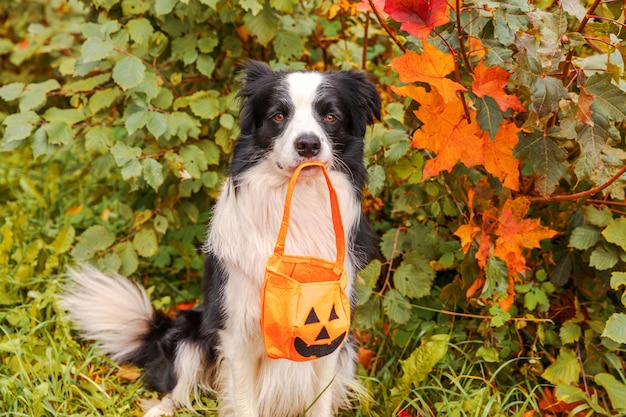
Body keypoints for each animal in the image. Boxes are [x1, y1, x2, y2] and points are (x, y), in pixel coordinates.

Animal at [61, 61, 378, 416]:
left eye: (331, 117)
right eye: (278, 116)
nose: (307, 144)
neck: (296, 202)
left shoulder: (330, 338)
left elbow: (320, 402)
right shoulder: (236, 330)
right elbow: (243, 403)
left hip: (347, 350)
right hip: (189, 331)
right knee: (176, 385)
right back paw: (161, 408)